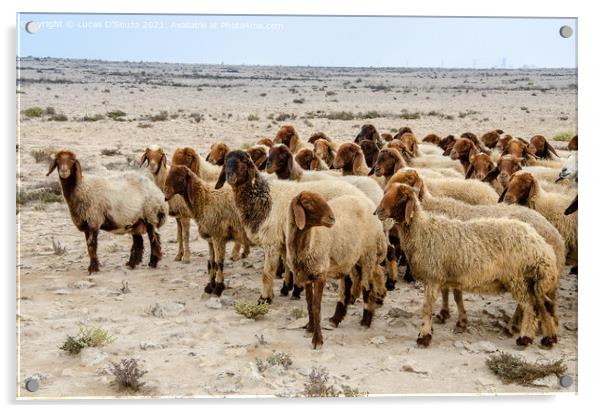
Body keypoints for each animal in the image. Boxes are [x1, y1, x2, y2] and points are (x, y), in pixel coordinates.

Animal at [163, 165, 252, 296]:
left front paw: (218, 288)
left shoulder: (218, 235)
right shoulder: (210, 238)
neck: (205, 198)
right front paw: (210, 286)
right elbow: (211, 262)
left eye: (179, 177)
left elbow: (219, 263)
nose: (166, 194)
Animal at [214, 150, 366, 300]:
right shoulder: (283, 240)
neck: (263, 198)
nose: (230, 177)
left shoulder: (271, 241)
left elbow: (267, 274)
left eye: (245, 162)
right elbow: (287, 265)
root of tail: (362, 196)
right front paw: (285, 289)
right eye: (226, 162)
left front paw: (264, 298)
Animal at [284, 192, 384, 346]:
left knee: (368, 286)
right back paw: (336, 319)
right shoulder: (307, 275)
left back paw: (366, 321)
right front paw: (310, 328)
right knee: (348, 285)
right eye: (307, 202)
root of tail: (366, 200)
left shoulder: (320, 273)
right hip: (350, 257)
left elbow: (316, 306)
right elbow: (309, 303)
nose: (332, 218)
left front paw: (317, 340)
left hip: (368, 253)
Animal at [376, 182, 556, 346]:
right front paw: (458, 322)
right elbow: (456, 297)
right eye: (385, 191)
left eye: (401, 197)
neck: (422, 231)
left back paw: (524, 337)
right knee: (541, 304)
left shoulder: (433, 277)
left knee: (529, 306)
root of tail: (541, 245)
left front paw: (424, 336)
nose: (378, 211)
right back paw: (548, 337)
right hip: (529, 280)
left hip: (517, 277)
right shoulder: (449, 276)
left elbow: (427, 307)